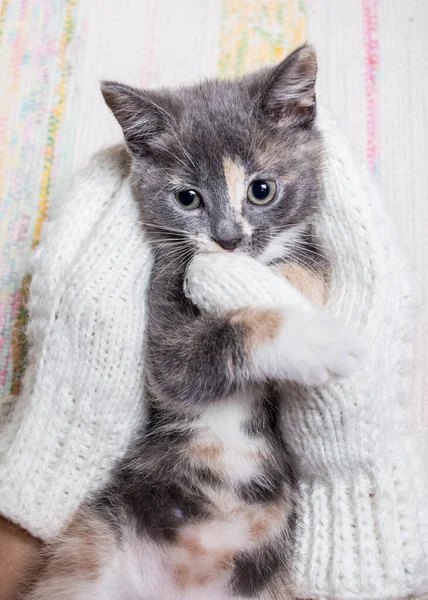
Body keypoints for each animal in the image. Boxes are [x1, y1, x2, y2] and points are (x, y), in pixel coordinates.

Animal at [26, 45, 360, 600]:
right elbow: (204, 351)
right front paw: (314, 339)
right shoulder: (164, 332)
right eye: (188, 198)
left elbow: (310, 267)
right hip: (93, 542)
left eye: (261, 190)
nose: (227, 239)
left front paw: (292, 283)